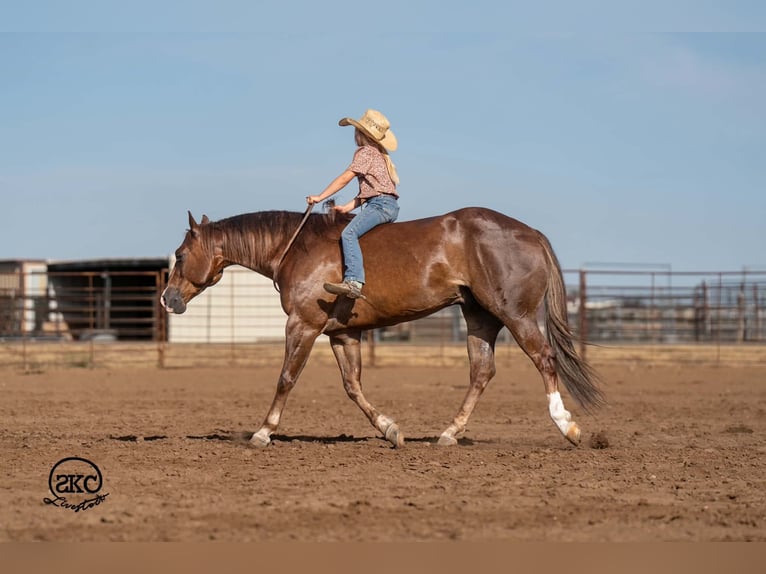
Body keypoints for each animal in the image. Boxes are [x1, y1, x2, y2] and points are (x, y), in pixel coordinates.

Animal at [161, 207, 604, 448]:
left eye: (180, 255)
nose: (168, 299)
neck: (297, 248)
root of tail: (530, 233)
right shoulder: (342, 334)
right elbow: (353, 386)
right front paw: (391, 430)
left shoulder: (303, 325)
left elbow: (286, 378)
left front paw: (263, 432)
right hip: (479, 318)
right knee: (482, 371)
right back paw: (448, 433)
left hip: (515, 314)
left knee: (544, 359)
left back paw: (568, 426)